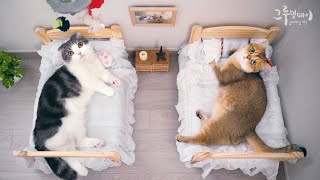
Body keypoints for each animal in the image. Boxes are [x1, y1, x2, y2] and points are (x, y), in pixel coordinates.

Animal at [33, 32, 121, 180]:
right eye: (70, 52)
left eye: (80, 45)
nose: (79, 53)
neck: (87, 64)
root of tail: (36, 141)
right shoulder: (89, 81)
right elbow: (100, 84)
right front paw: (110, 90)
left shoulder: (100, 70)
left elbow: (107, 74)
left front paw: (115, 80)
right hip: (58, 138)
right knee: (68, 156)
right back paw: (82, 170)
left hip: (77, 125)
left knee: (78, 143)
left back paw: (95, 144)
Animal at [176, 43, 306, 156]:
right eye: (252, 50)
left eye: (253, 62)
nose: (247, 56)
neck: (237, 61)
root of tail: (250, 129)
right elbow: (234, 51)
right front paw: (232, 51)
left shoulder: (224, 76)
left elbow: (216, 67)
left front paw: (211, 58)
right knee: (207, 122)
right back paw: (200, 114)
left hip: (218, 127)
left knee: (201, 139)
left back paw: (182, 137)